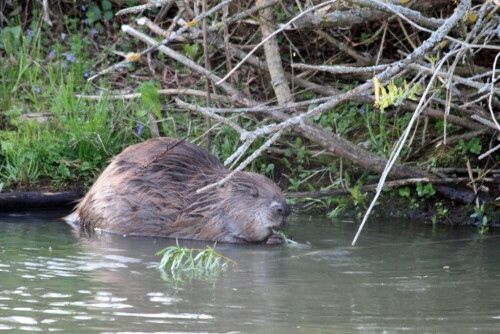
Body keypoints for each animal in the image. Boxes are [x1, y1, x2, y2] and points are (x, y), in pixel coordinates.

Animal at [68, 137, 292, 244]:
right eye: (253, 194)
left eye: (279, 190)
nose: (284, 209)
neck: (205, 201)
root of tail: (81, 208)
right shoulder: (205, 223)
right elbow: (224, 238)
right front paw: (271, 239)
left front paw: (278, 237)